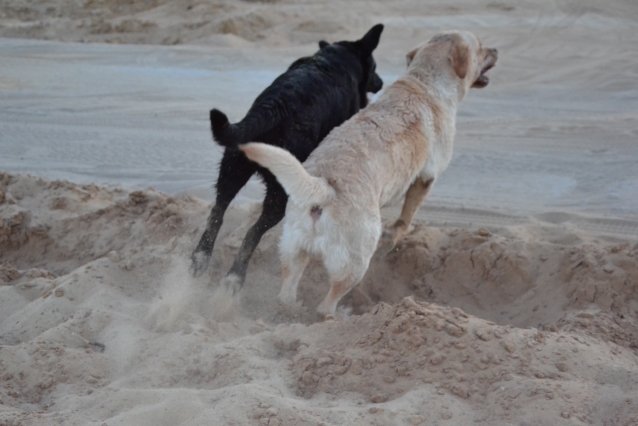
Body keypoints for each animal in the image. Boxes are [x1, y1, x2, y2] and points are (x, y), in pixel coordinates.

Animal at [191, 24, 384, 292]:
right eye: (374, 67)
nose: (381, 82)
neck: (334, 59)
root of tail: (273, 108)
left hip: (231, 170)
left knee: (216, 215)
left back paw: (200, 260)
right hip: (282, 194)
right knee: (252, 233)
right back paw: (235, 277)